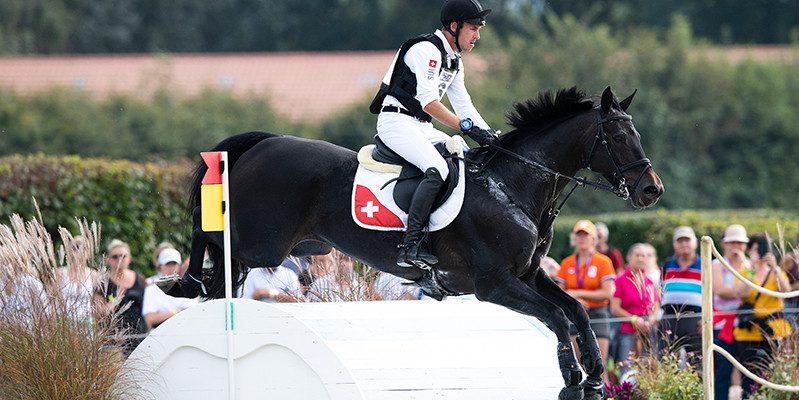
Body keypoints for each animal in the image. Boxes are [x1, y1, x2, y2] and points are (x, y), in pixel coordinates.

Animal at [164, 86, 664, 398]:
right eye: (620, 136)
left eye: (636, 133)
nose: (651, 190)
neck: (513, 186)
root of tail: (264, 144)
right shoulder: (495, 285)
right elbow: (559, 318)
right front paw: (572, 378)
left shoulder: (528, 276)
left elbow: (576, 310)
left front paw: (595, 375)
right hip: (265, 242)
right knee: (206, 232)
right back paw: (184, 281)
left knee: (224, 263)